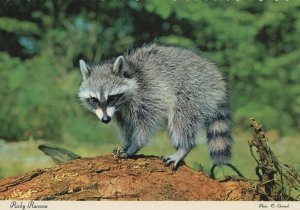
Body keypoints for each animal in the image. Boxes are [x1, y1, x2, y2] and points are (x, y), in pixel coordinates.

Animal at [77, 42, 232, 169]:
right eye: (94, 100)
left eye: (111, 97)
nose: (105, 120)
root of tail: (217, 78)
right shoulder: (119, 111)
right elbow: (125, 125)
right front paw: (127, 142)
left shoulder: (148, 95)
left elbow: (146, 124)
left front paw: (135, 145)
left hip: (193, 90)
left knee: (181, 119)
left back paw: (184, 147)